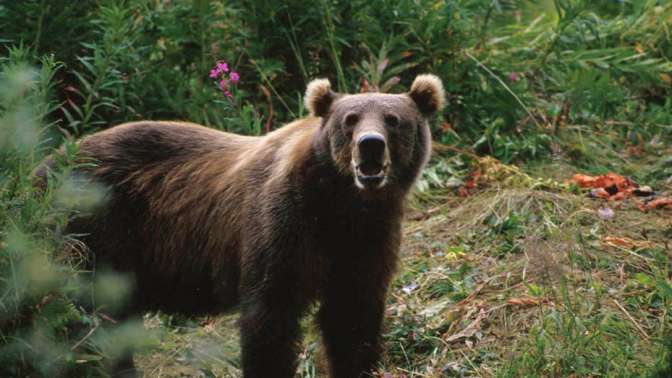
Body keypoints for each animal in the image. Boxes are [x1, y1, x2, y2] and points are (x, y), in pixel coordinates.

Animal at [36, 74, 446, 378]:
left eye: (393, 120)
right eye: (350, 120)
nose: (370, 146)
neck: (340, 203)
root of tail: (44, 166)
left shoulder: (367, 238)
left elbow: (352, 314)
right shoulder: (282, 226)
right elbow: (270, 317)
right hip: (94, 231)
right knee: (85, 318)